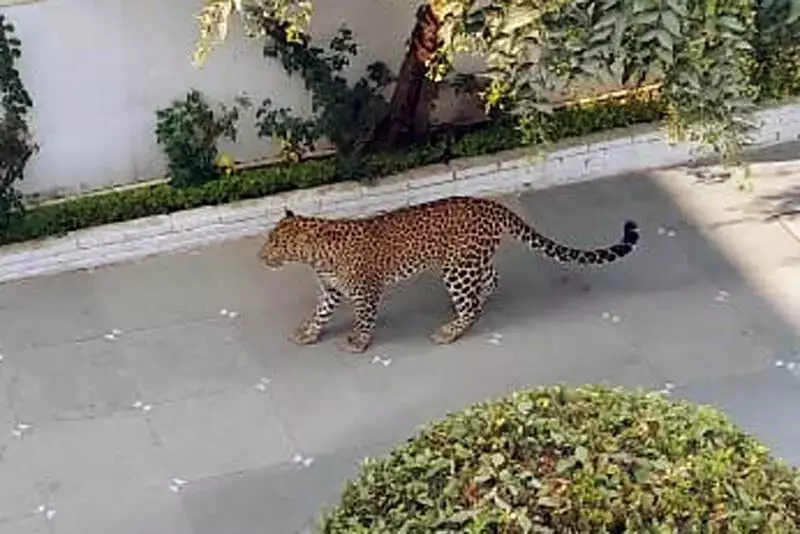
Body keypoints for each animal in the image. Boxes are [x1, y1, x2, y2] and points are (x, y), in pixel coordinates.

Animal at [258, 195, 640, 354]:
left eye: (275, 243)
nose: (261, 257)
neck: (317, 256)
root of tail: (491, 205)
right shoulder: (332, 289)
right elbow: (320, 312)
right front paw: (309, 333)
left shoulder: (366, 290)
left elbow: (365, 318)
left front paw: (358, 342)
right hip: (467, 261)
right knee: (490, 279)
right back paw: (475, 305)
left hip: (457, 269)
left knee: (470, 303)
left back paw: (451, 330)